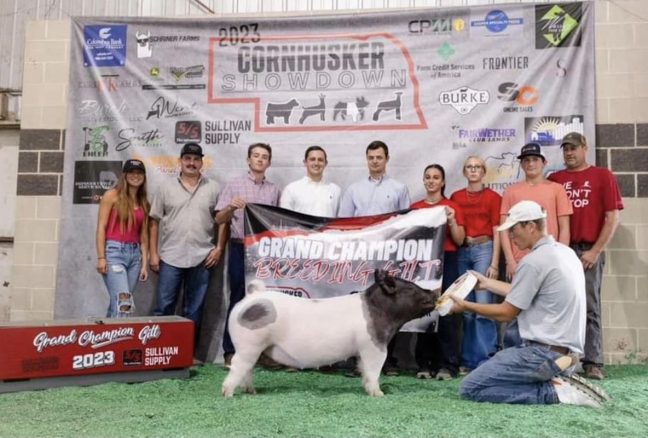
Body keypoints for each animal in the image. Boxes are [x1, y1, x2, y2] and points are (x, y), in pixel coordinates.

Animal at [223, 270, 440, 396]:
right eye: (412, 288)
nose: (435, 292)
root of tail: (253, 297)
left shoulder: (363, 351)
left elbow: (363, 370)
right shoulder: (374, 346)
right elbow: (373, 371)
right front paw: (379, 394)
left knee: (248, 369)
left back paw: (252, 391)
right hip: (248, 344)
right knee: (237, 365)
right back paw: (228, 394)